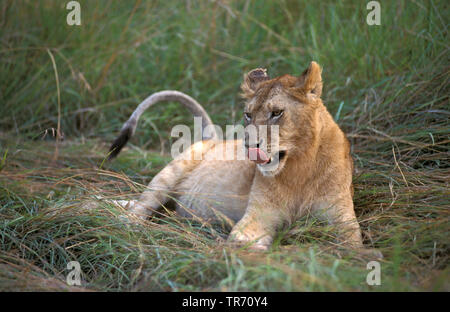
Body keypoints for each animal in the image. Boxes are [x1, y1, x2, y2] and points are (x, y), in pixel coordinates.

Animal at [108, 62, 380, 258]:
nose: (249, 146)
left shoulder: (342, 217)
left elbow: (353, 246)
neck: (299, 169)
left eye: (277, 113)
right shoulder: (259, 215)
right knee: (139, 208)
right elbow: (248, 243)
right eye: (248, 115)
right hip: (171, 172)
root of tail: (214, 138)